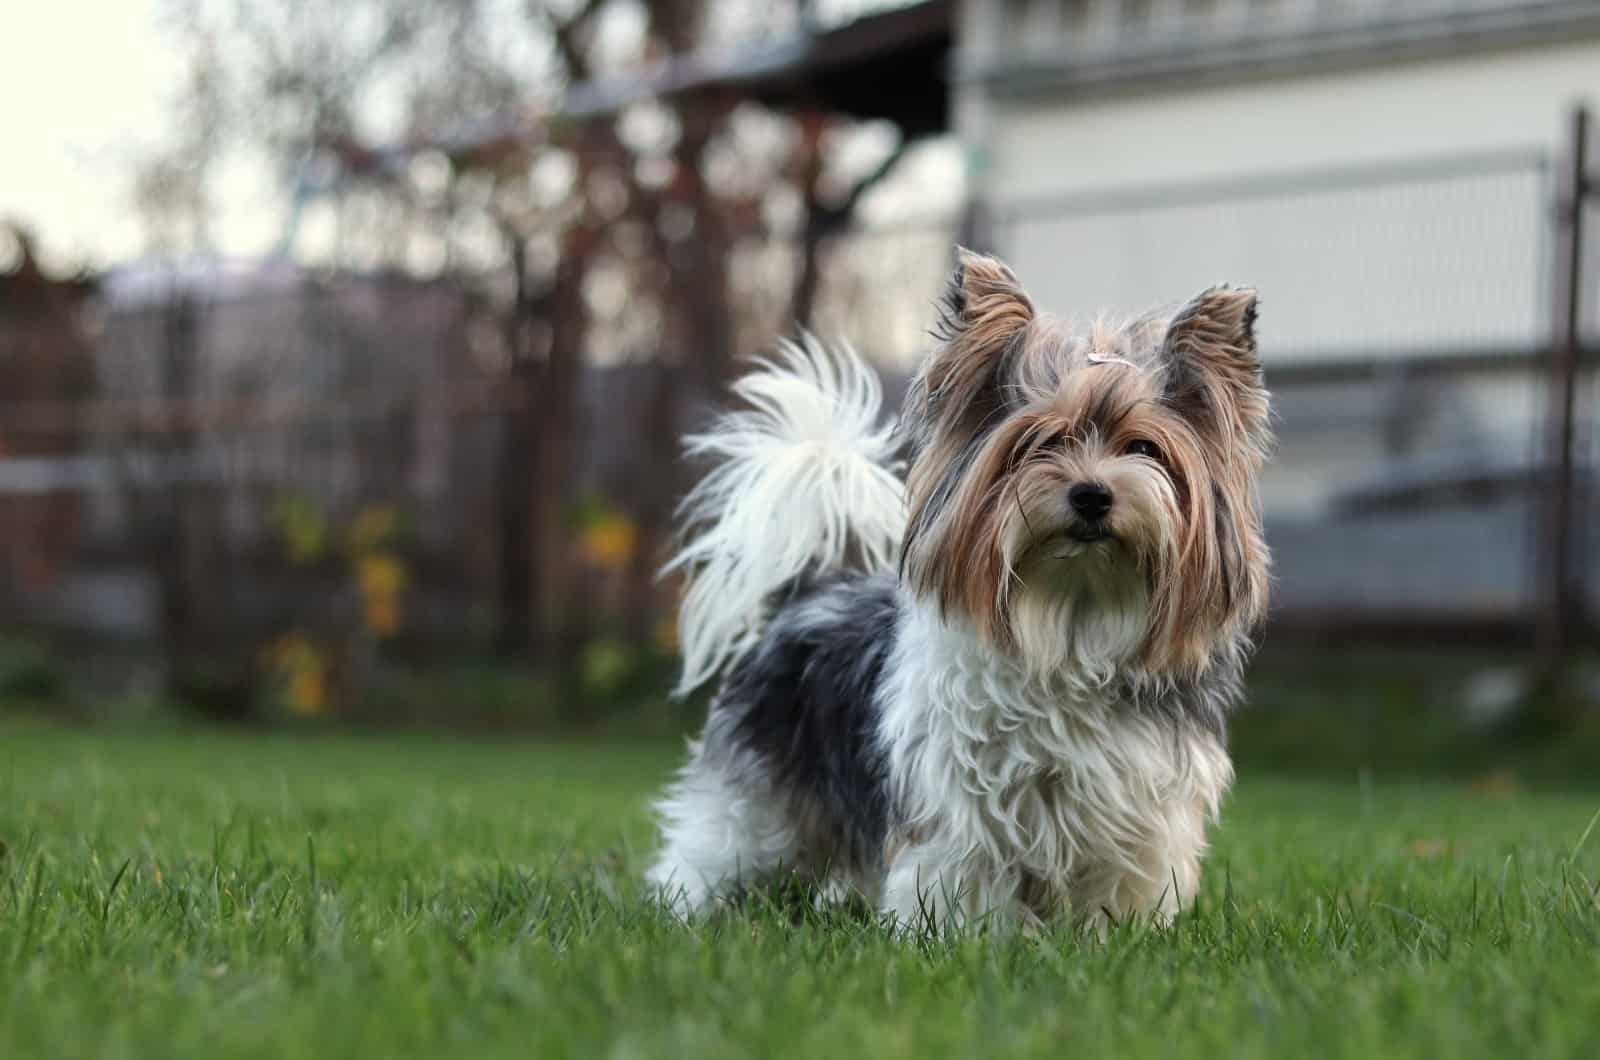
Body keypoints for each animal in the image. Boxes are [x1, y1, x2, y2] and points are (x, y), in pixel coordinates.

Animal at [643, 252, 1267, 935]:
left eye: (1144, 448)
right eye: (1040, 443)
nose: (1092, 495)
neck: (1072, 618)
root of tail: (807, 592)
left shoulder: (1137, 817)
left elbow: (1115, 889)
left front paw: (1107, 941)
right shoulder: (964, 808)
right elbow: (966, 879)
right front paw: (968, 940)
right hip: (756, 796)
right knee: (713, 846)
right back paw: (687, 909)